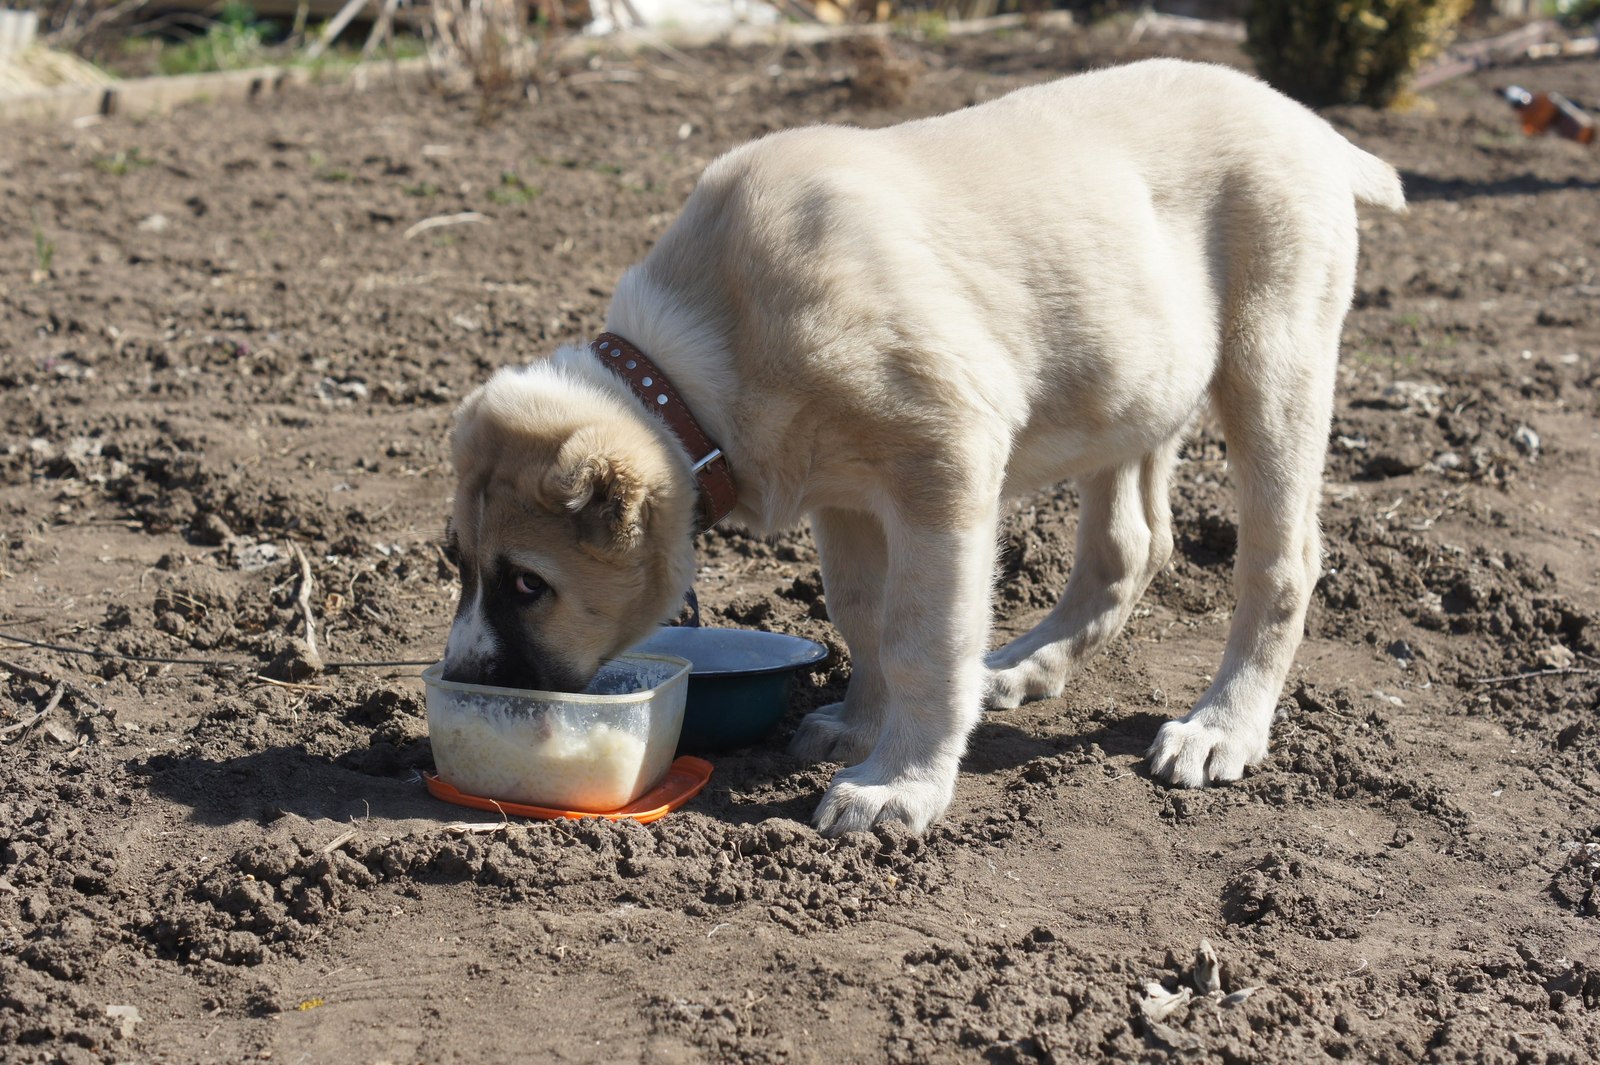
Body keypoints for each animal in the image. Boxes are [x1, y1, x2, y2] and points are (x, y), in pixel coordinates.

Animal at [438, 57, 1401, 831]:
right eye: (458, 562)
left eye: (527, 583)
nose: (462, 673)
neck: (696, 365)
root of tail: (1308, 123)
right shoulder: (842, 496)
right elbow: (861, 613)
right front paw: (860, 726)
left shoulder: (944, 470)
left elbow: (920, 641)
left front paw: (898, 783)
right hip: (1132, 388)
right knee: (1131, 546)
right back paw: (1027, 667)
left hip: (1273, 362)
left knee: (1280, 559)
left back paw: (1222, 726)